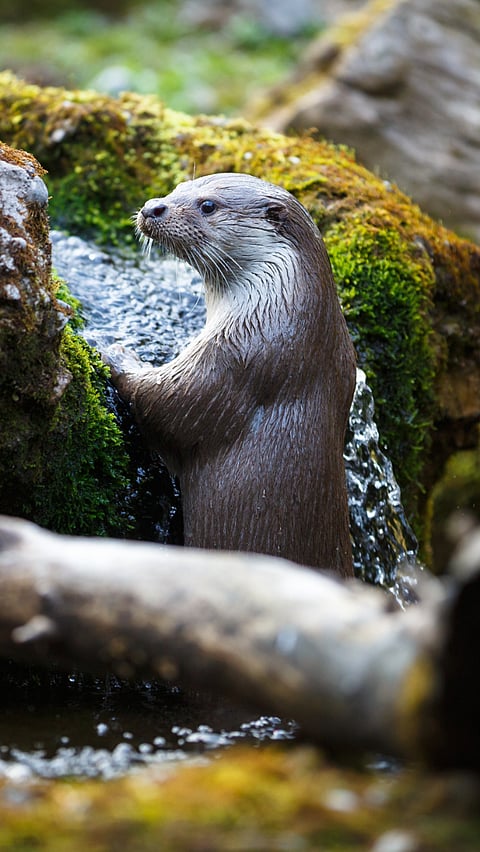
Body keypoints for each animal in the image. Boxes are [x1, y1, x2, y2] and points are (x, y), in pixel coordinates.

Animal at [107, 173, 356, 576]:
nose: (152, 207)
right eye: (178, 187)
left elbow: (166, 404)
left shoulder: (237, 358)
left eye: (208, 205)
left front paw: (119, 354)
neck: (283, 311)